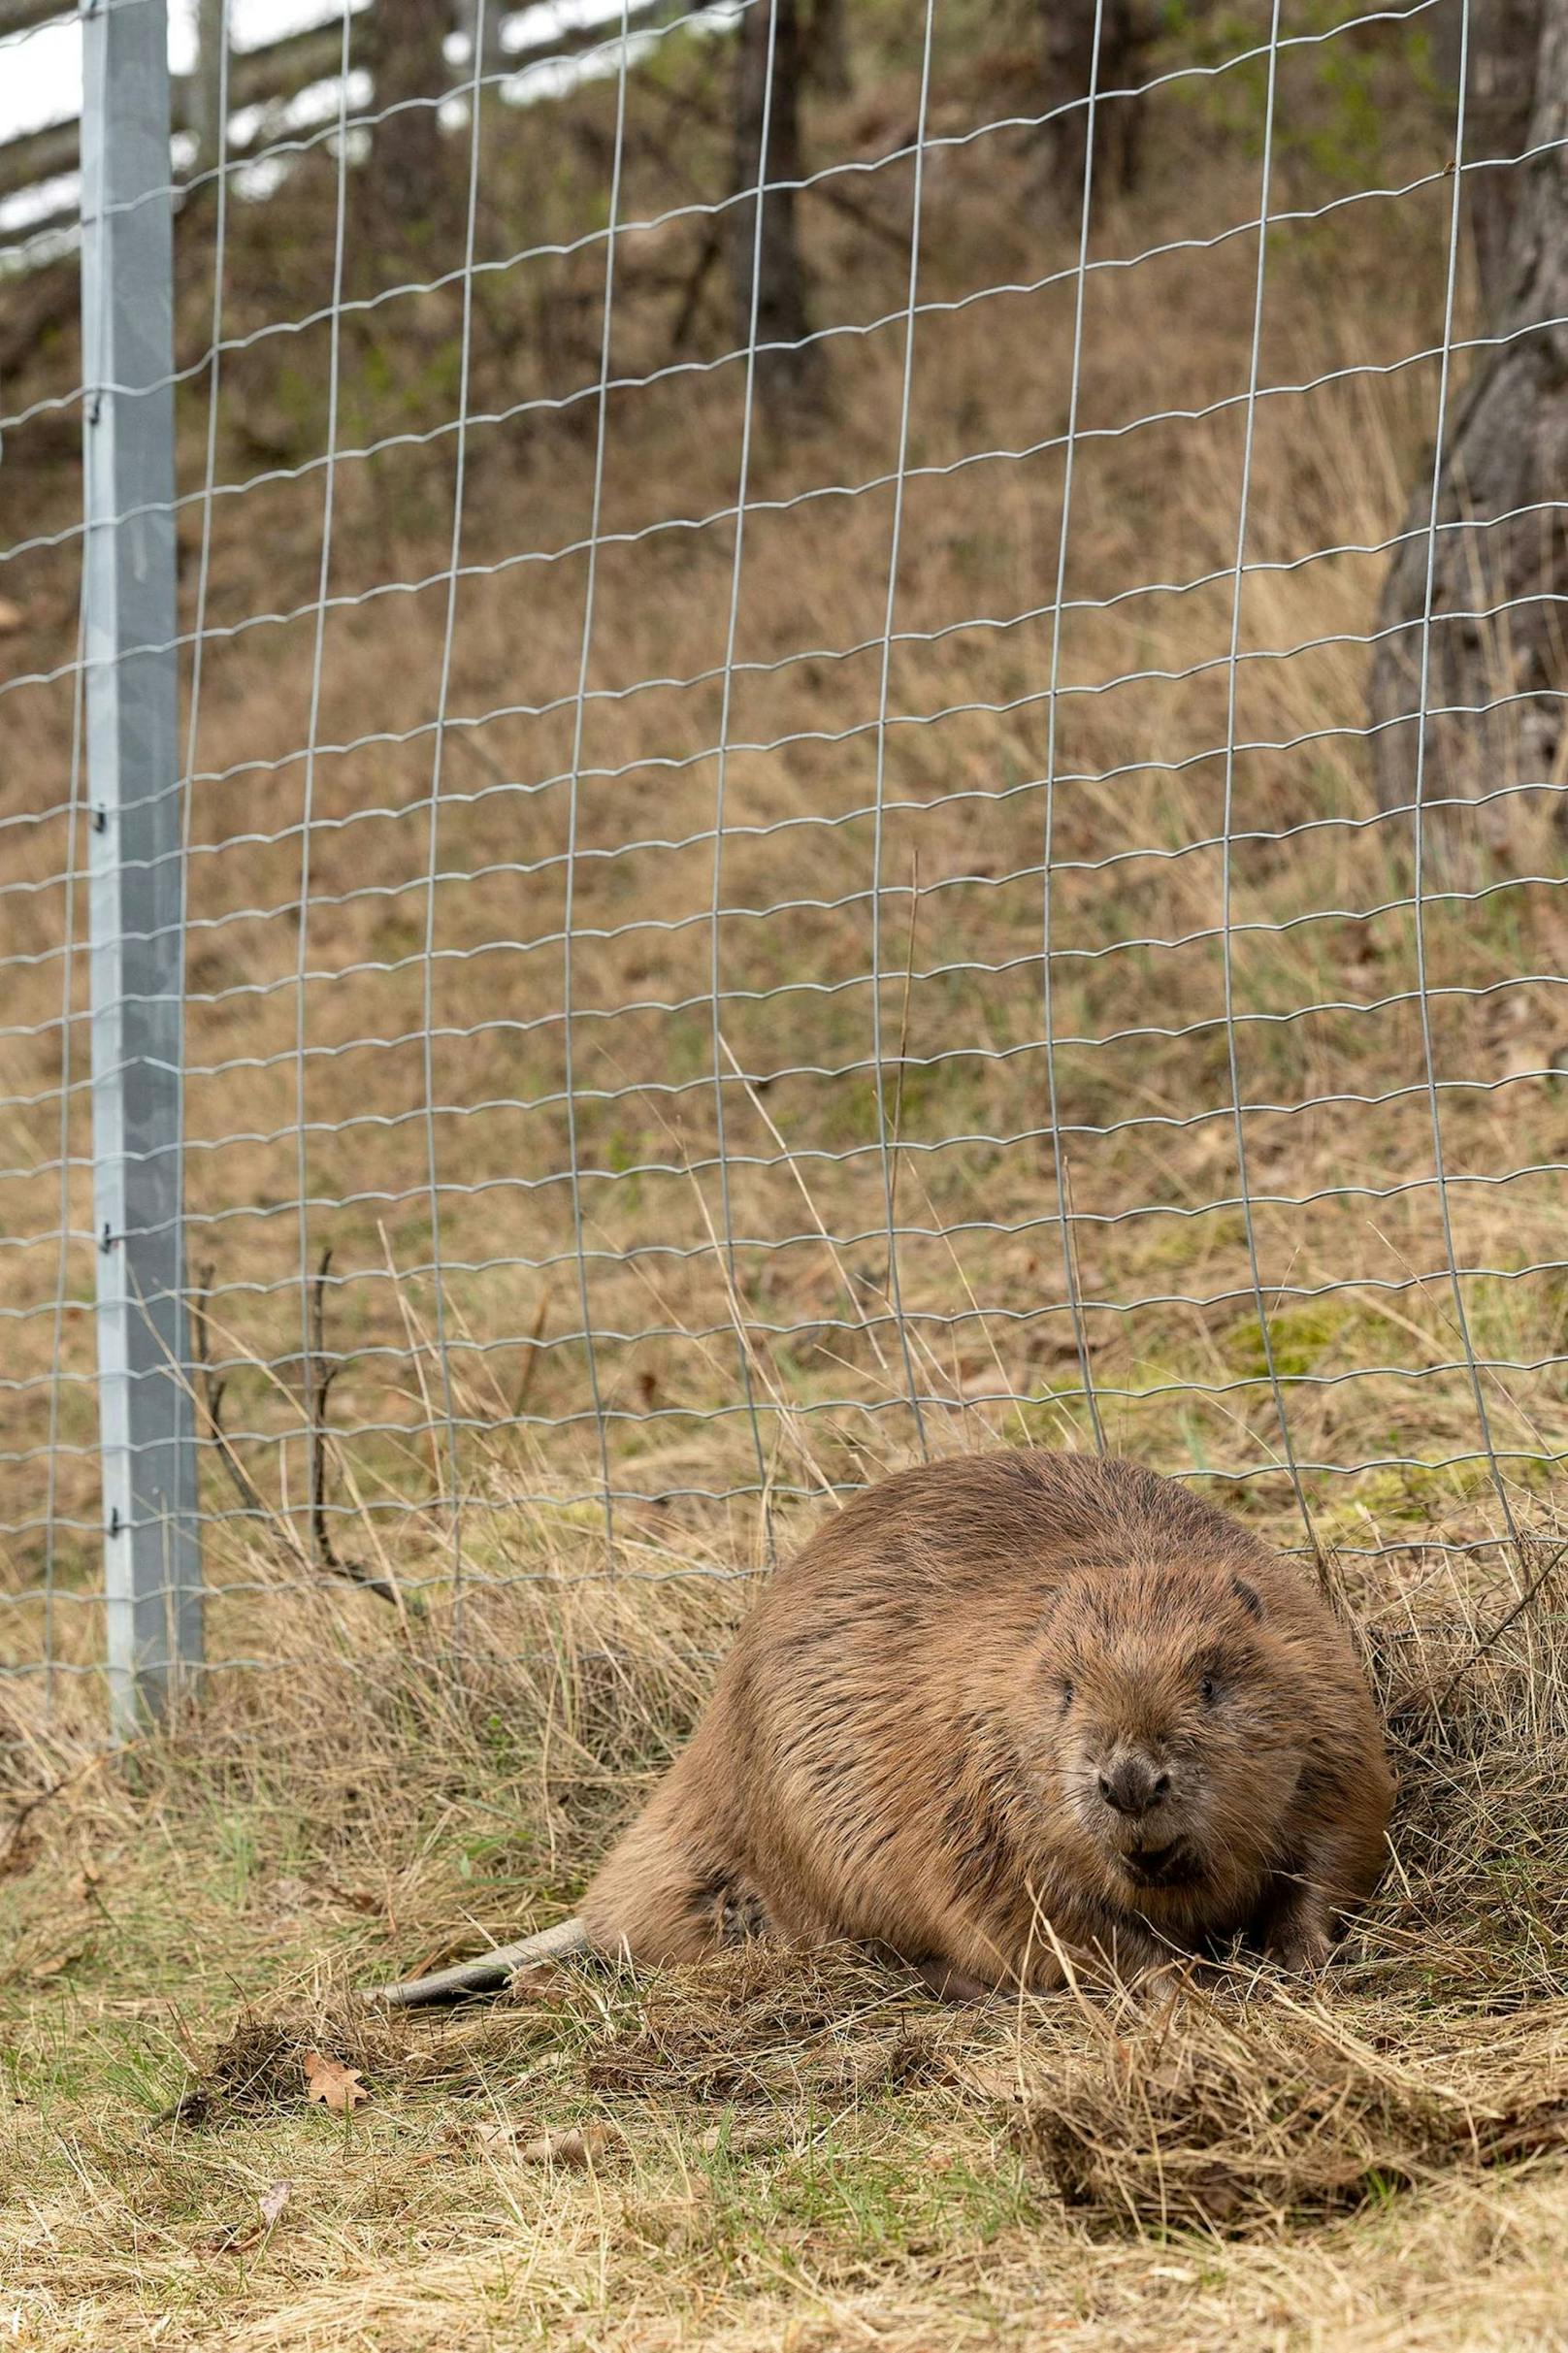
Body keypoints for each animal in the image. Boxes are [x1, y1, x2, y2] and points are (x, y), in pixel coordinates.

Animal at [372, 1449, 1384, 2005]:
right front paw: (1180, 1985)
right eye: (1063, 1691)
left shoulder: (1334, 1718)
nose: (1129, 1781)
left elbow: (1337, 1852)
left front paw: (1298, 1958)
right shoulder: (969, 1807)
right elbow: (1057, 1924)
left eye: (1211, 1682)